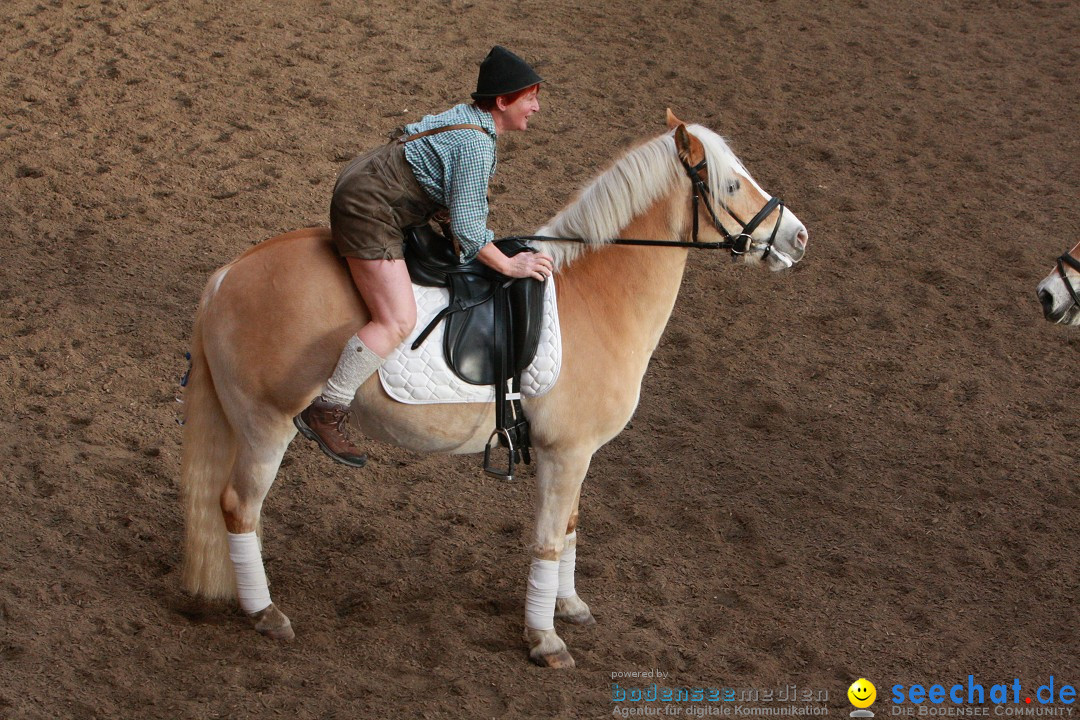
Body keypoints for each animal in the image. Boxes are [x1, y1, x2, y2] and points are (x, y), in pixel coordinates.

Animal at [181, 110, 812, 669]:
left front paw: (569, 606)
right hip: (267, 424)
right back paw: (264, 612)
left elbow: (569, 527)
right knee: (239, 507)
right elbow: (548, 540)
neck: (600, 296)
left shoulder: (577, 456)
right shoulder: (566, 454)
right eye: (731, 184)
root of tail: (228, 275)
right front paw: (545, 639)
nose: (799, 236)